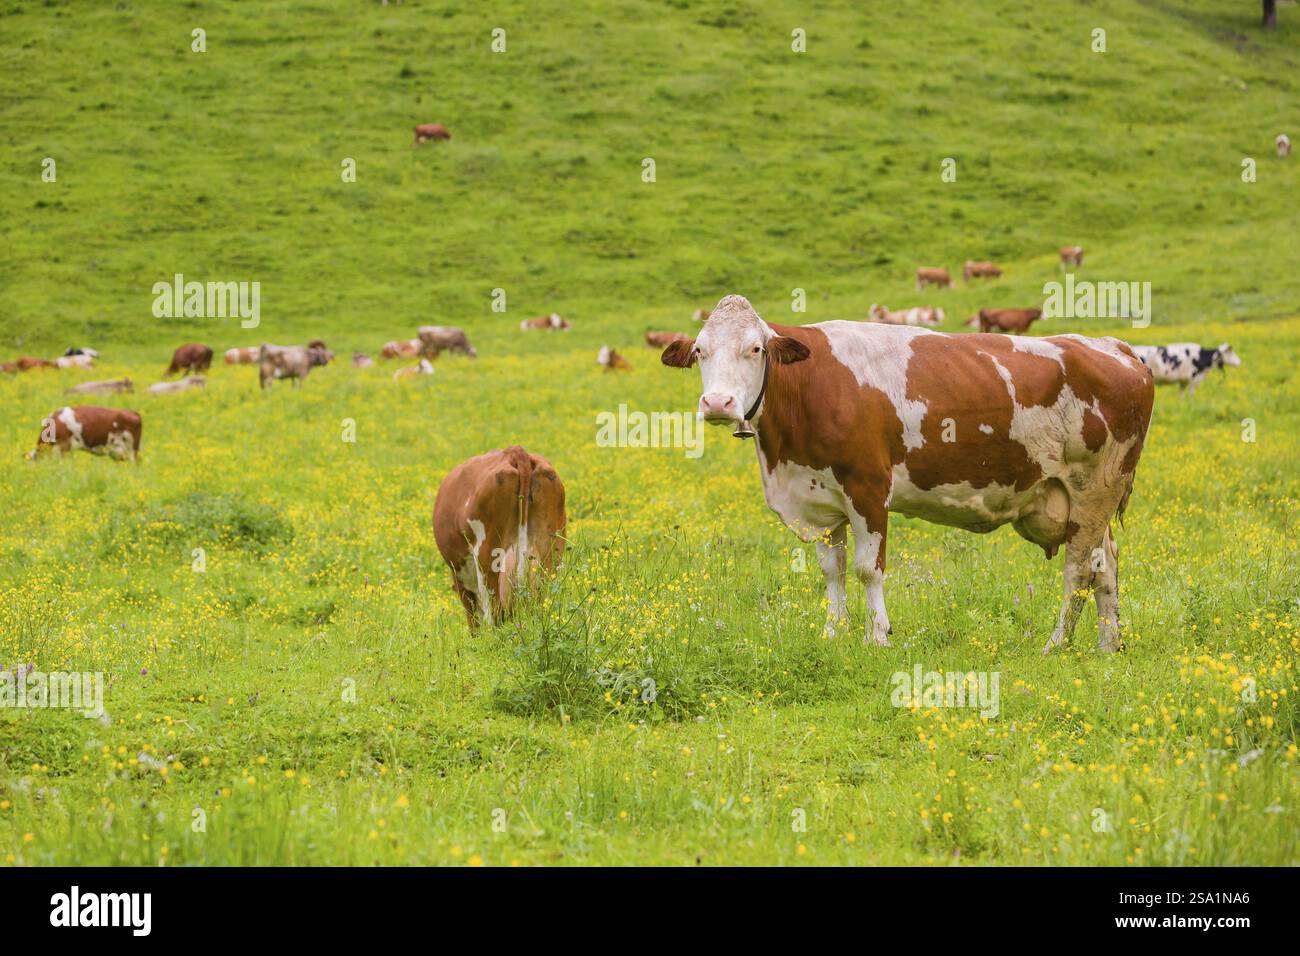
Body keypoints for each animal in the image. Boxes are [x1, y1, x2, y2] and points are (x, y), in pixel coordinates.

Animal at [432, 446, 566, 627]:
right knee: (541, 601)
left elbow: (473, 619)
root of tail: (514, 452)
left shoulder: (460, 577)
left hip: (487, 559)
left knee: (494, 613)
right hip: (551, 551)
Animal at [660, 294, 1153, 654]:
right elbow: (832, 571)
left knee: (1079, 570)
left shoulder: (868, 488)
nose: (718, 403)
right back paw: (1108, 645)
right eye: (700, 351)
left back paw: (1056, 644)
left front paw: (876, 637)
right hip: (1083, 500)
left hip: (1094, 489)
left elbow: (867, 570)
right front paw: (833, 634)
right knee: (1105, 564)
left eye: (756, 349)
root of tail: (1115, 347)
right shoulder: (819, 502)